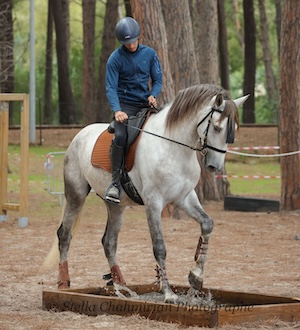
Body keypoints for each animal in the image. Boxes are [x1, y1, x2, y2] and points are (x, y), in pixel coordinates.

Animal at [42, 84, 248, 302]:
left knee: (109, 242)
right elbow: (159, 247)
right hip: (76, 195)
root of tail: (80, 134)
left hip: (116, 207)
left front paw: (196, 277)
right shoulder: (153, 203)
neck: (173, 147)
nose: (214, 167)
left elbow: (207, 224)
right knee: (65, 235)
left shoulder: (184, 198)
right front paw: (168, 293)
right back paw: (63, 282)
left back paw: (121, 286)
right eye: (217, 127)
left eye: (232, 131)